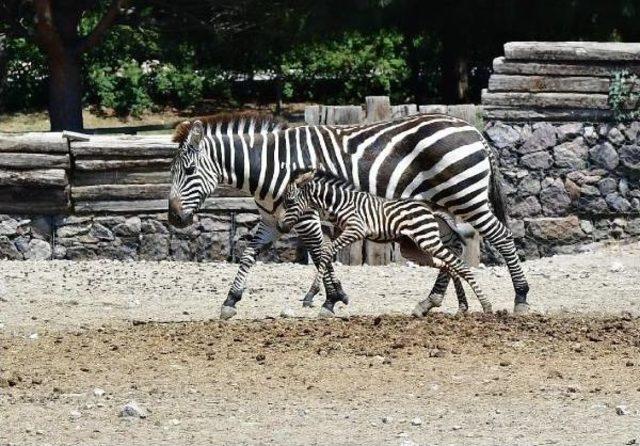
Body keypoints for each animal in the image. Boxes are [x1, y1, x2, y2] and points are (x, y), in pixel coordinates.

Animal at [278, 169, 492, 316]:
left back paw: (486, 306)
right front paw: (331, 298)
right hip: (412, 248)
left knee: (459, 264)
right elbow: (326, 252)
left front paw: (311, 295)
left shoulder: (356, 229)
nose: (280, 227)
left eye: (289, 201)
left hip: (427, 240)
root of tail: (431, 210)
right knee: (448, 265)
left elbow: (327, 250)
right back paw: (458, 307)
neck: (340, 203)